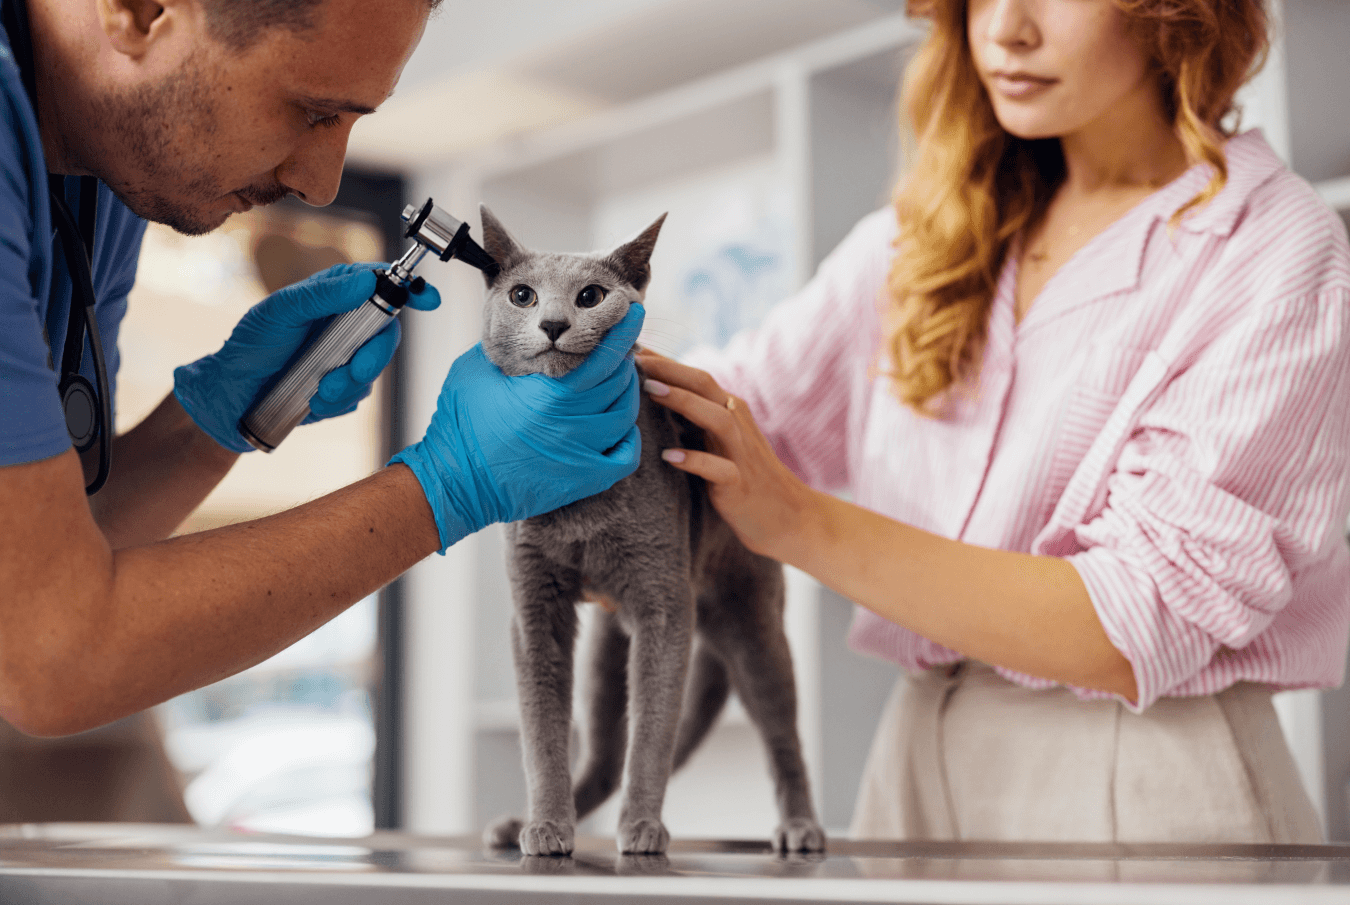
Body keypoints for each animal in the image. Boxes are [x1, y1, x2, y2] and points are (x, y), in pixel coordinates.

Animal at [480, 209, 826, 859]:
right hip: (602, 656)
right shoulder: (534, 605)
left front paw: (642, 826)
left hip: (751, 625)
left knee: (782, 735)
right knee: (600, 755)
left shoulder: (664, 604)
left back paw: (800, 826)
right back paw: (523, 823)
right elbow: (541, 727)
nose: (554, 323)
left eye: (591, 296)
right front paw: (546, 825)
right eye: (522, 295)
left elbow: (655, 727)